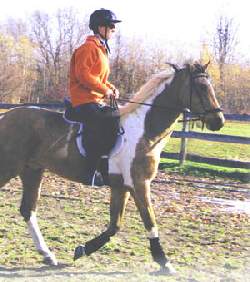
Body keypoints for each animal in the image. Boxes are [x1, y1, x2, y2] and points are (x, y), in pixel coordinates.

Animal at [0, 62, 225, 274]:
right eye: (201, 87)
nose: (219, 121)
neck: (143, 129)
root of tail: (6, 117)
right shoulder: (139, 184)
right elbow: (150, 221)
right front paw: (164, 262)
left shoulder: (121, 186)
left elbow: (114, 226)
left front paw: (82, 249)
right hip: (9, 168)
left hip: (32, 171)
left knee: (28, 210)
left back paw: (47, 255)